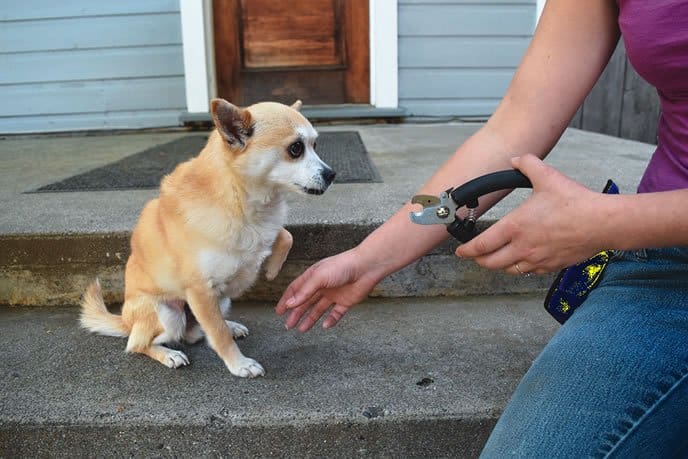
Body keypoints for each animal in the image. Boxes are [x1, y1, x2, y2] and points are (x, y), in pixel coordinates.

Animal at [78, 99, 336, 378]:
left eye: (315, 145)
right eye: (296, 149)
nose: (331, 174)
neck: (243, 200)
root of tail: (126, 321)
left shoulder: (262, 236)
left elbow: (285, 235)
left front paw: (271, 269)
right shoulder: (200, 291)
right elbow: (219, 335)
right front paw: (239, 364)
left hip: (220, 301)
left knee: (197, 331)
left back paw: (228, 325)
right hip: (168, 313)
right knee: (139, 344)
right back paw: (169, 354)